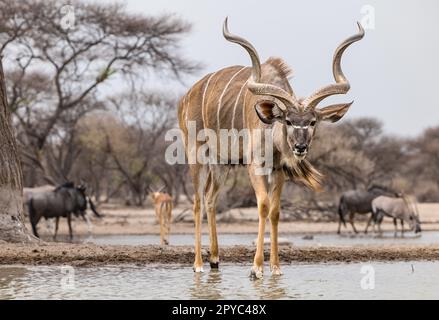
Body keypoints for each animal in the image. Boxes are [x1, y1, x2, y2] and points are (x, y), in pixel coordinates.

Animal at [177, 18, 366, 278]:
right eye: (288, 121)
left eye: (312, 122)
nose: (300, 147)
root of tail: (185, 98)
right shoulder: (255, 166)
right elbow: (263, 205)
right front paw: (256, 268)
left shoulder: (278, 171)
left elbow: (275, 211)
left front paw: (276, 267)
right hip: (196, 155)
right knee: (196, 202)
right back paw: (198, 264)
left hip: (221, 164)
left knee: (210, 198)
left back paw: (215, 259)